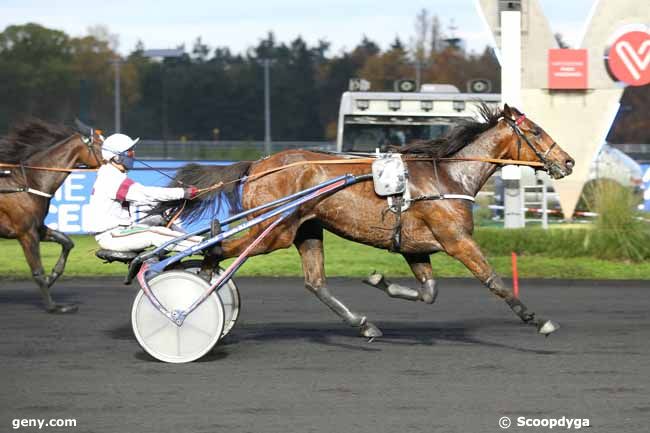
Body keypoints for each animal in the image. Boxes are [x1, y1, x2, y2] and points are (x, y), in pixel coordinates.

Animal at [0, 120, 102, 312]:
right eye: (101, 144)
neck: (28, 183)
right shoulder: (26, 233)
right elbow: (38, 272)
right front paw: (53, 306)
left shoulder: (38, 228)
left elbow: (67, 242)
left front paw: (52, 277)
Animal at [171, 104, 572, 338]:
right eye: (535, 131)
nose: (567, 161)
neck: (448, 177)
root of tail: (257, 166)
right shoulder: (457, 240)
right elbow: (495, 281)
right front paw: (537, 319)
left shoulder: (416, 248)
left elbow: (429, 292)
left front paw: (379, 280)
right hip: (272, 232)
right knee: (215, 249)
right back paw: (195, 295)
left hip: (306, 230)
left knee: (315, 283)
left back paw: (362, 324)